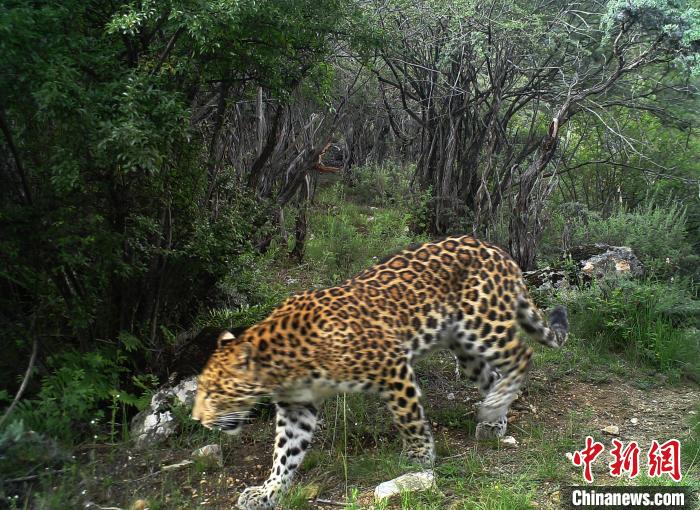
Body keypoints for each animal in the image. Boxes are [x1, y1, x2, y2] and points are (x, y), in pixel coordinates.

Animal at [192, 235, 569, 509]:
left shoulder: (392, 366)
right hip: (464, 346)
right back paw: (492, 419)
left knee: (523, 355)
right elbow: (285, 453)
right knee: (492, 376)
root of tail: (497, 250)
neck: (281, 366)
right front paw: (267, 492)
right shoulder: (297, 407)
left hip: (484, 325)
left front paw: (419, 458)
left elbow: (408, 418)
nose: (197, 419)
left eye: (212, 393)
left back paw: (494, 407)